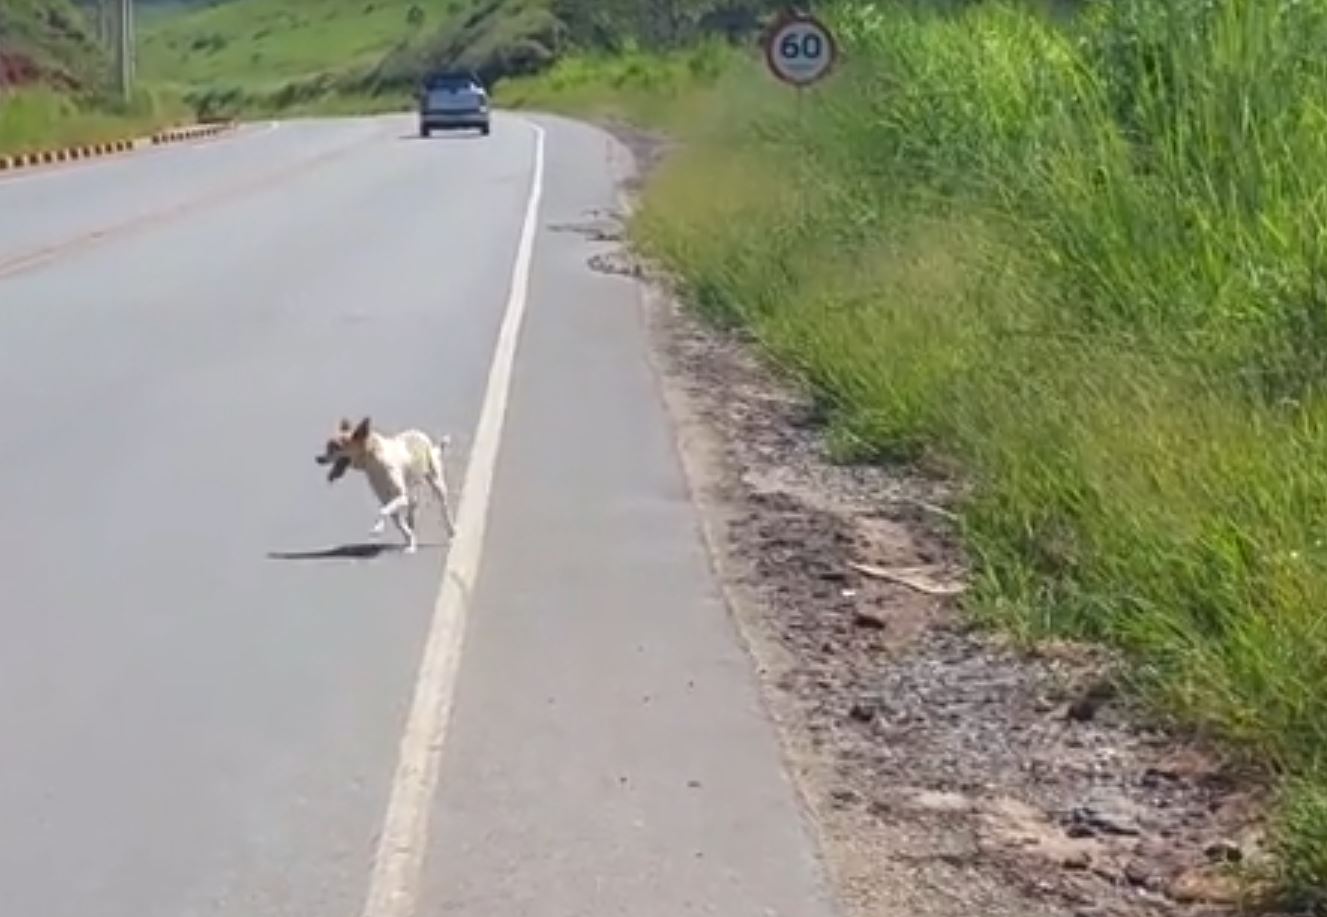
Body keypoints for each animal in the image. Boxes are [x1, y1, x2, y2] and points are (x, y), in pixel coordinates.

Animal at [314, 416, 456, 552]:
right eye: (327, 447)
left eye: (336, 447)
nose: (318, 458)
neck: (374, 461)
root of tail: (419, 433)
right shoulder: (386, 499)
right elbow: (397, 522)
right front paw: (410, 540)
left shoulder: (400, 497)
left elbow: (382, 511)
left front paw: (378, 528)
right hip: (410, 487)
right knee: (412, 506)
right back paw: (411, 524)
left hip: (437, 483)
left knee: (444, 509)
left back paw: (451, 532)